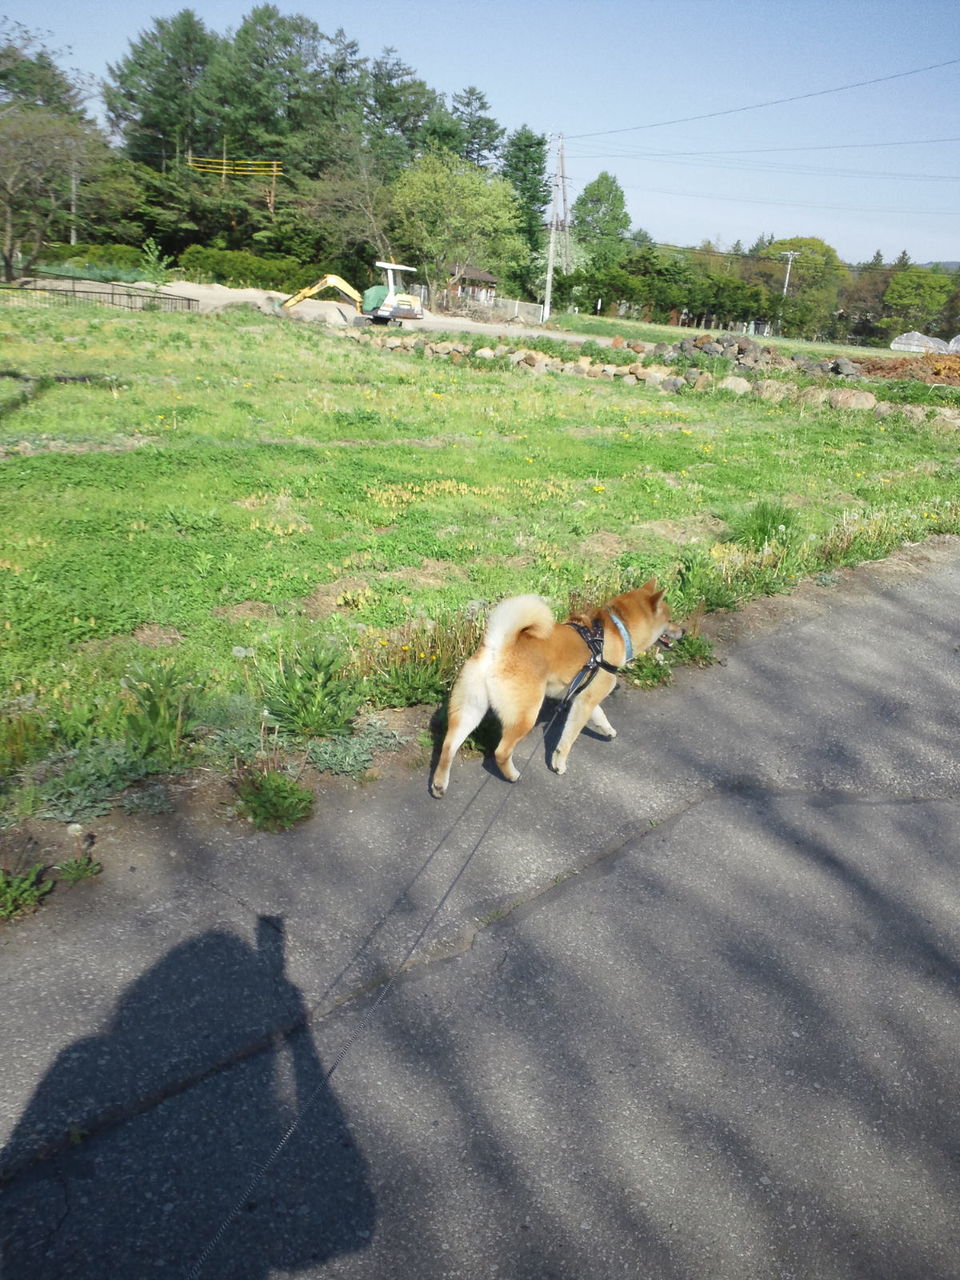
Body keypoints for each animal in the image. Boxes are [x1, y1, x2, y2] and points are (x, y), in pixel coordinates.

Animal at [430, 579, 683, 797]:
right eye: (671, 619)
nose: (684, 631)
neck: (618, 631)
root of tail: (499, 646)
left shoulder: (583, 696)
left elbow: (599, 715)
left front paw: (607, 730)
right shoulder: (585, 701)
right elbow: (568, 739)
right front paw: (559, 764)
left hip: (470, 709)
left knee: (448, 746)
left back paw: (439, 784)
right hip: (525, 715)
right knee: (501, 752)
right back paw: (512, 775)